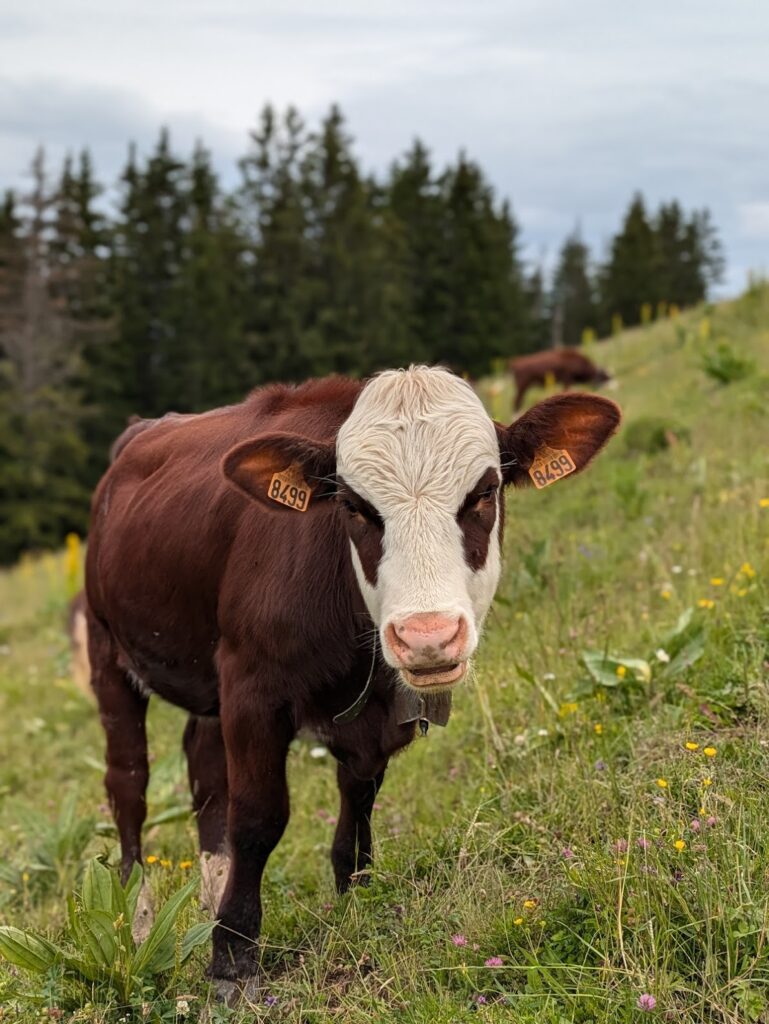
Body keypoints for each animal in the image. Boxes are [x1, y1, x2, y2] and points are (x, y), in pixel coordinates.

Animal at [87, 366, 622, 983]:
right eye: (352, 506)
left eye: (484, 492)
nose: (428, 635)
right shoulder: (250, 687)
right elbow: (259, 816)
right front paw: (232, 953)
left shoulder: (373, 717)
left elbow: (358, 809)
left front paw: (354, 901)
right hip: (107, 649)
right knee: (129, 784)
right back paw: (136, 914)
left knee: (203, 765)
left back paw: (209, 892)